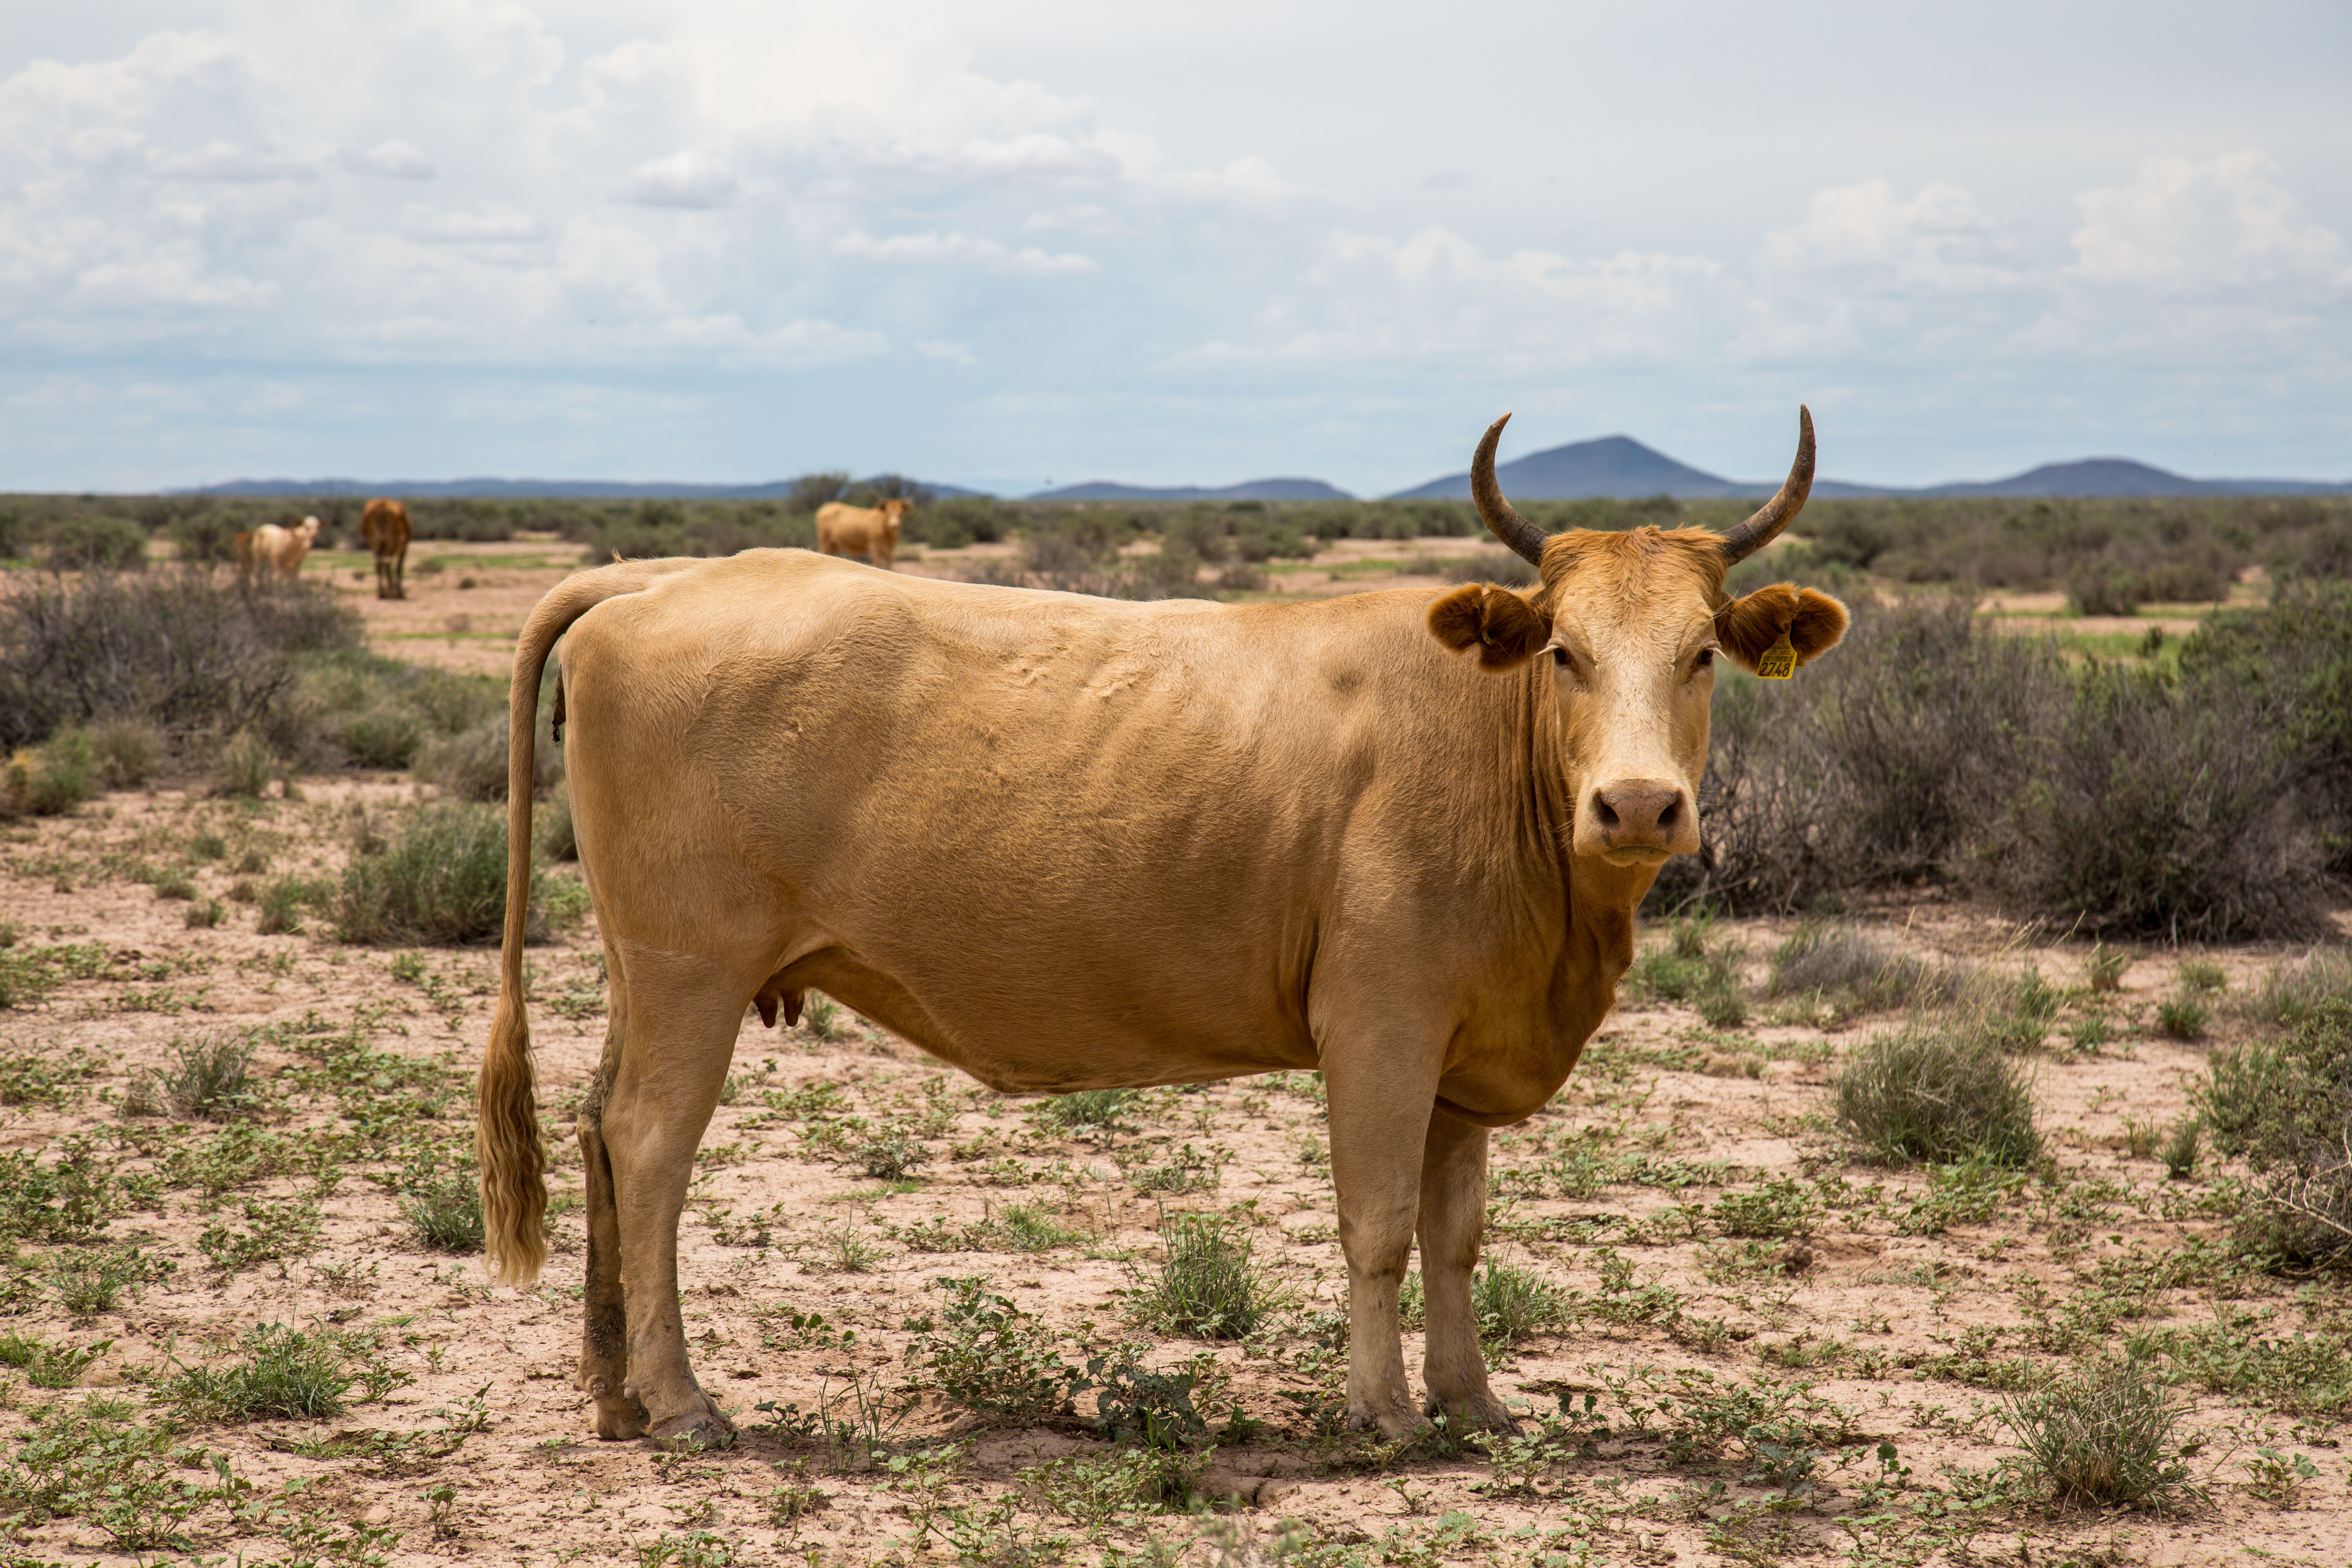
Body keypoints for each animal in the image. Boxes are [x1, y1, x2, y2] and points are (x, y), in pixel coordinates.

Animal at [234, 516, 321, 580]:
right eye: (307, 528)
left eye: (317, 527)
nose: (309, 545)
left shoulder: (293, 567)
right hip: (254, 560)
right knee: (252, 574)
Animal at [362, 498, 413, 600]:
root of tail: (381, 506)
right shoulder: (403, 548)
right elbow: (398, 568)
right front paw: (398, 592)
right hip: (391, 544)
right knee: (386, 563)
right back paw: (391, 592)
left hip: (377, 544)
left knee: (379, 564)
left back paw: (381, 593)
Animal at [814, 497, 911, 570]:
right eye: (888, 512)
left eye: (901, 513)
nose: (895, 525)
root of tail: (827, 505)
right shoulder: (874, 548)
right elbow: (877, 564)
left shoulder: (890, 550)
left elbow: (889, 566)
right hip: (825, 542)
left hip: (834, 545)